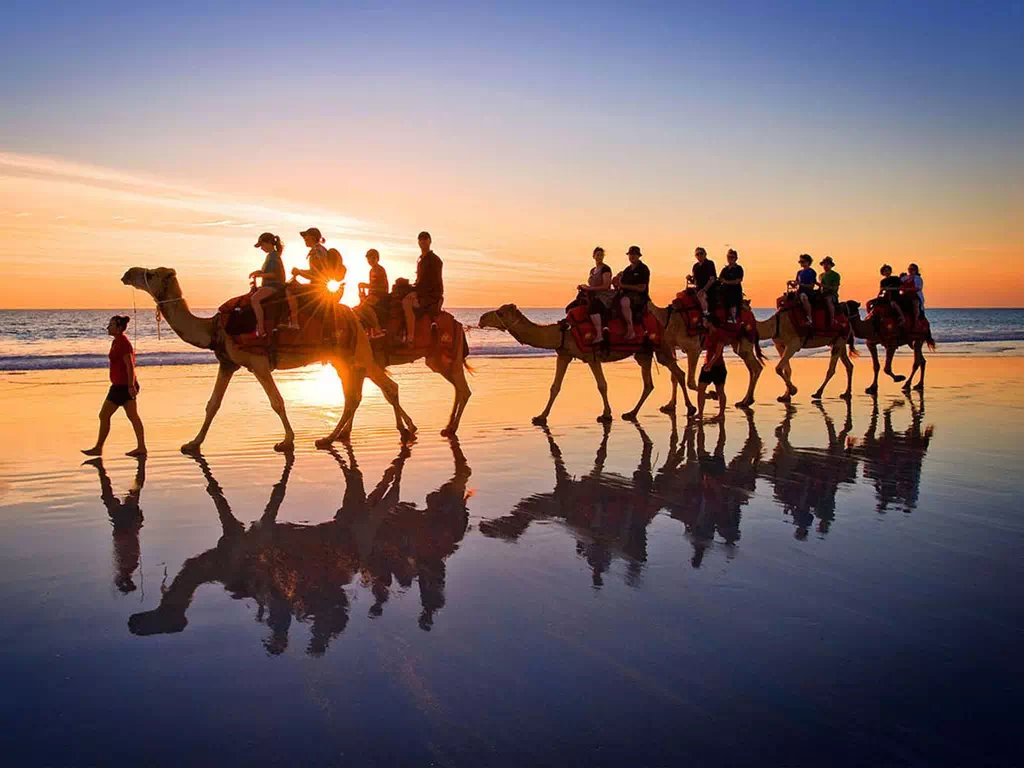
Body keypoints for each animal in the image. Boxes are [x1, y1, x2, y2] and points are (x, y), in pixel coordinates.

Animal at [122, 268, 415, 454]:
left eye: (151, 274)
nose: (127, 273)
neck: (214, 328)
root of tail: (355, 315)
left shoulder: (258, 363)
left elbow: (276, 401)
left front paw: (286, 442)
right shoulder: (227, 363)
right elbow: (212, 404)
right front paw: (193, 443)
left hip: (354, 354)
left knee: (381, 388)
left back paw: (402, 430)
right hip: (342, 358)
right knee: (356, 395)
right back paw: (331, 437)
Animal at [475, 303, 765, 421]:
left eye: (500, 312)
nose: (480, 318)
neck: (563, 330)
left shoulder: (591, 356)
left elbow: (602, 385)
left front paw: (606, 414)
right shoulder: (564, 353)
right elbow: (555, 387)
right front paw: (540, 416)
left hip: (659, 348)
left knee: (679, 373)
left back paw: (695, 406)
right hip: (645, 353)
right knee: (654, 381)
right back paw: (634, 412)